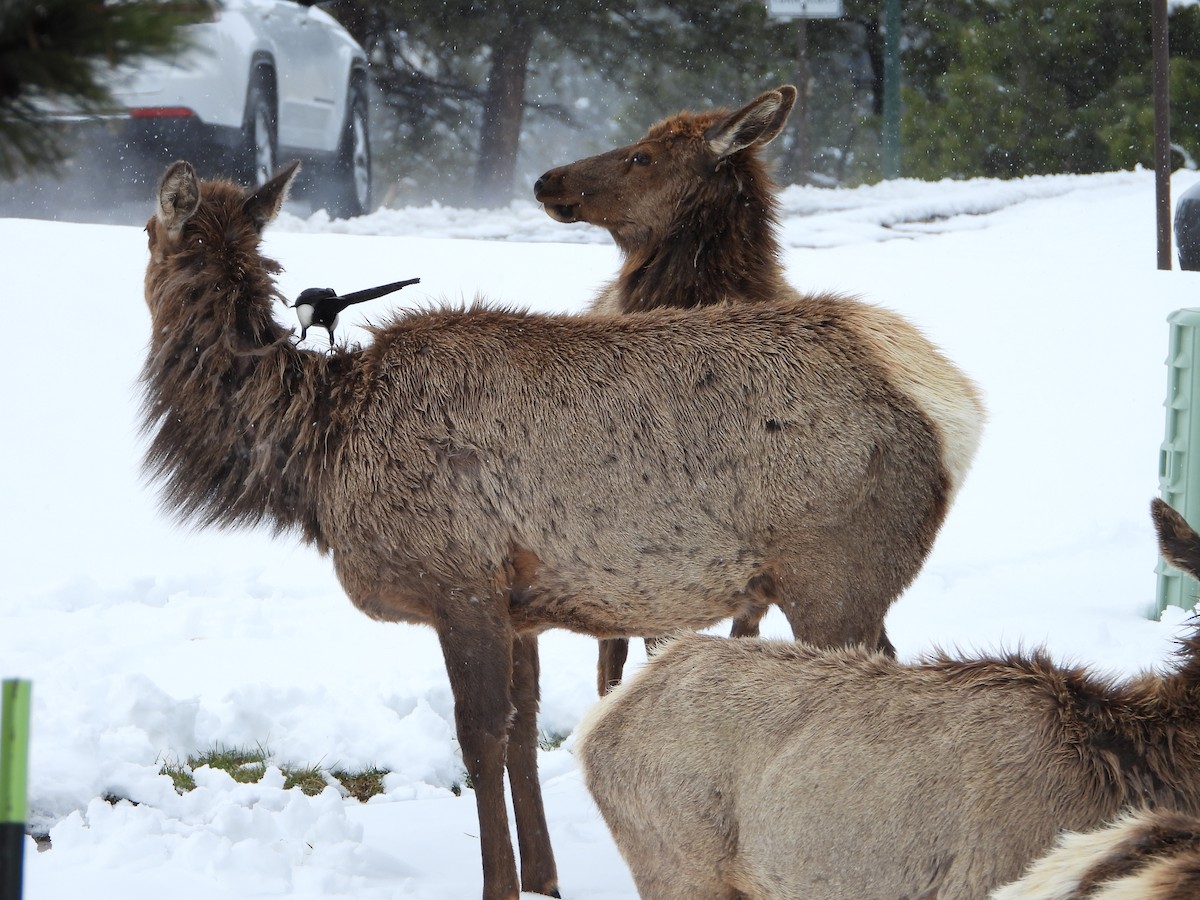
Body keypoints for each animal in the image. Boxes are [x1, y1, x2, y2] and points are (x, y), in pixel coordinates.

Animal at [142, 160, 984, 900]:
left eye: (149, 229)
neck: (318, 451)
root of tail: (952, 401)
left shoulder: (461, 582)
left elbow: (478, 737)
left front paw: (497, 886)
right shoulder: (518, 602)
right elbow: (523, 731)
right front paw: (544, 877)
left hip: (835, 574)